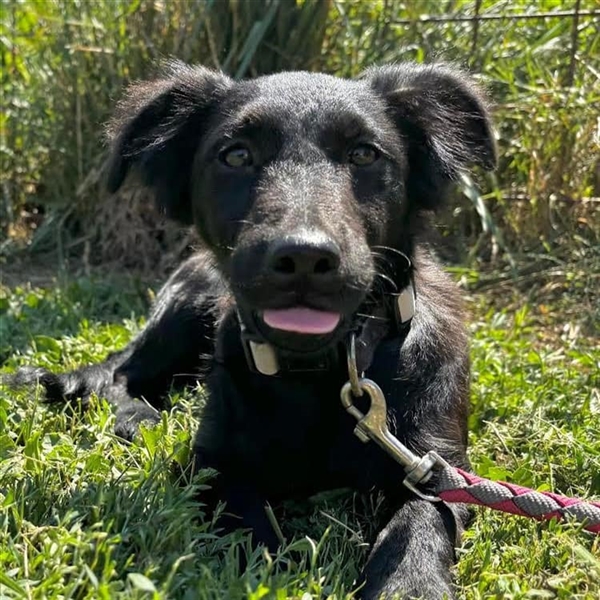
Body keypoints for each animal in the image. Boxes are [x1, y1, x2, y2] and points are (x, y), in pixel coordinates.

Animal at [13, 61, 496, 599]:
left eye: (364, 154)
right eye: (237, 155)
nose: (304, 257)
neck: (317, 371)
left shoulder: (435, 467)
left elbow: (416, 527)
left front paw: (409, 585)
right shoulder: (215, 463)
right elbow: (245, 518)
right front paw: (270, 567)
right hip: (189, 302)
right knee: (120, 372)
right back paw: (138, 418)